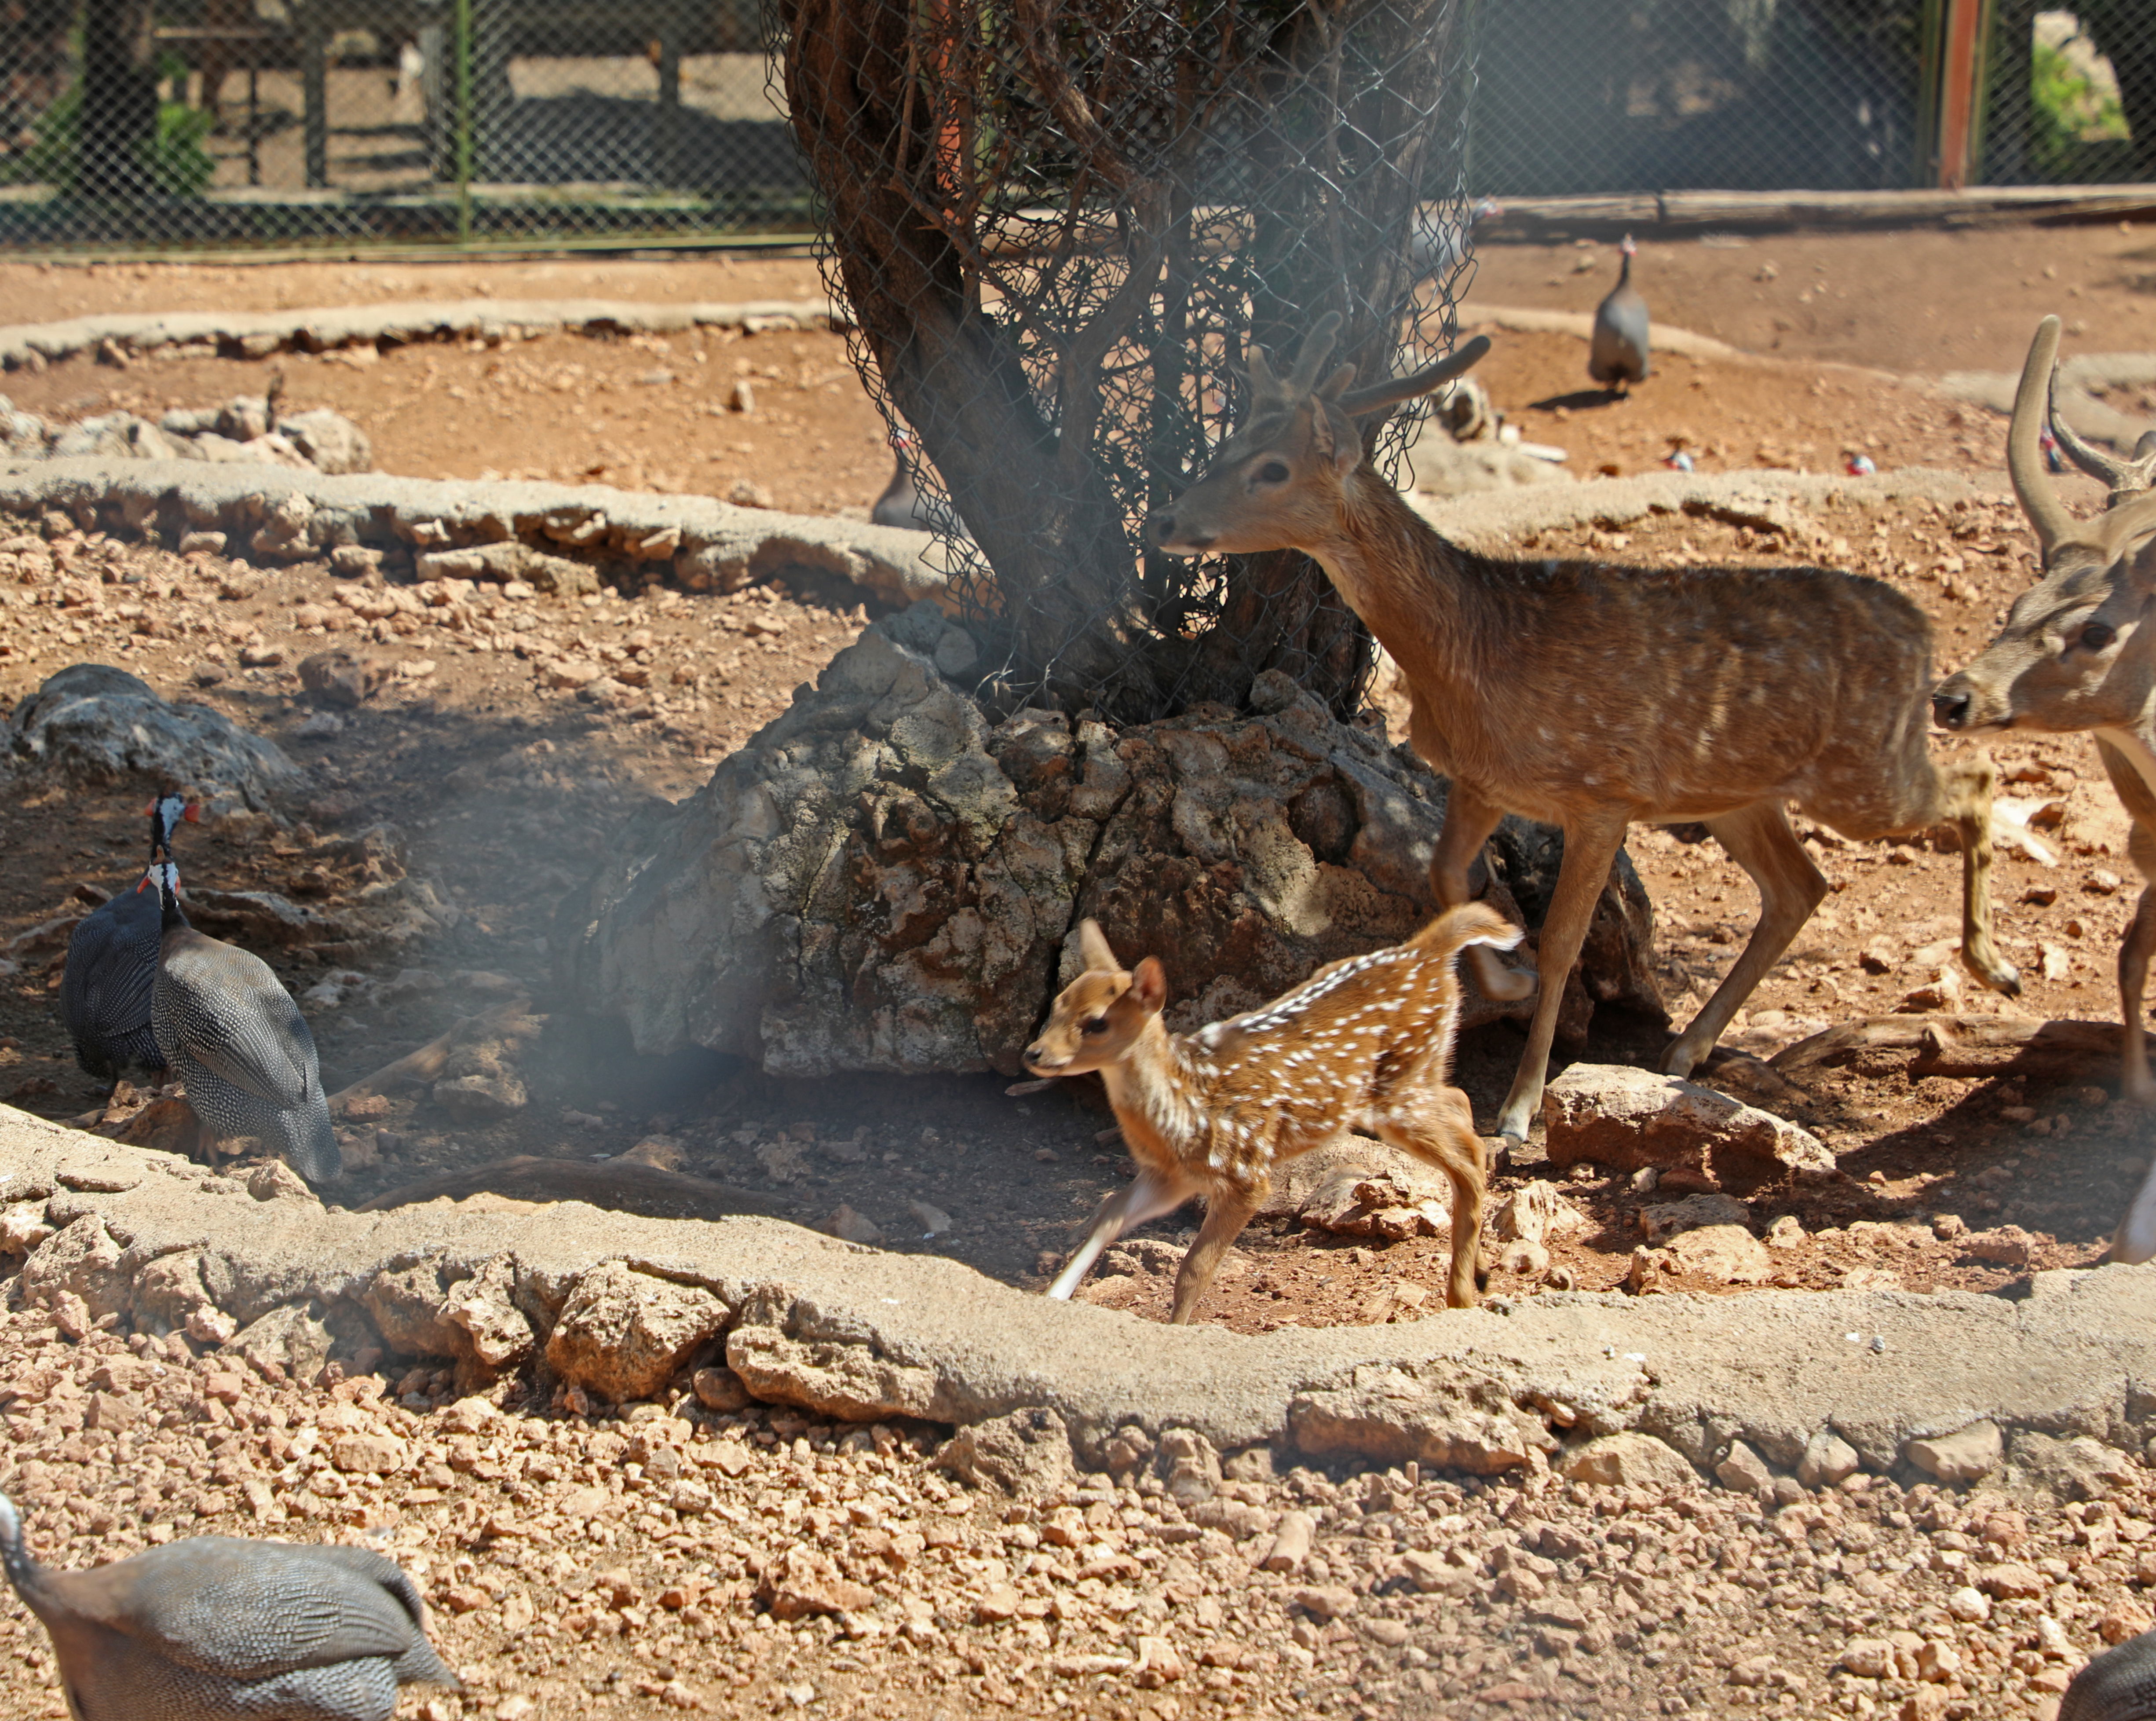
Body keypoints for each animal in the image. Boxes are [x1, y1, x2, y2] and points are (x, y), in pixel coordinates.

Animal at [1026, 910, 1518, 1328]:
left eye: (1096, 1023)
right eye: (1058, 1003)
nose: (1034, 1053)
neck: (1188, 1109)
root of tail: (1427, 951)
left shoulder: (1246, 1174)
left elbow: (1194, 1269)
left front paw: (1177, 1330)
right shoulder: (1171, 1179)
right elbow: (1107, 1214)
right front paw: (1052, 1298)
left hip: (1399, 1087)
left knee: (1466, 1155)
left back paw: (1462, 1296)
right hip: (1413, 1081)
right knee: (1464, 1114)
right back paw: (1481, 1272)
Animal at [1147, 310, 2018, 1147]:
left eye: (1271, 468)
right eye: (1227, 445)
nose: (1166, 515)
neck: (1475, 657)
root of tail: (1922, 629)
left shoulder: (1602, 794)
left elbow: (1564, 938)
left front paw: (1519, 1108)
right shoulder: (1482, 778)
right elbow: (1447, 879)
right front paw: (1506, 975)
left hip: (1863, 770)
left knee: (1970, 783)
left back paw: (1994, 967)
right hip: (1740, 794)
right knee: (1801, 886)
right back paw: (1684, 1049)